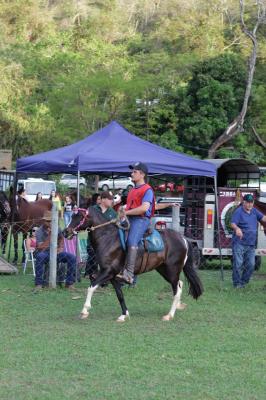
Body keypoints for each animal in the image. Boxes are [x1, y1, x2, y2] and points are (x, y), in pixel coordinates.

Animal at [62, 206, 204, 322]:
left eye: (79, 217)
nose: (65, 232)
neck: (107, 238)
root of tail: (183, 238)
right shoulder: (112, 275)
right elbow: (119, 294)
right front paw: (124, 315)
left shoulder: (107, 271)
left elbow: (91, 287)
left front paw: (84, 310)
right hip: (163, 269)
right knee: (179, 284)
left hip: (172, 270)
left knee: (177, 289)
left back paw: (169, 315)